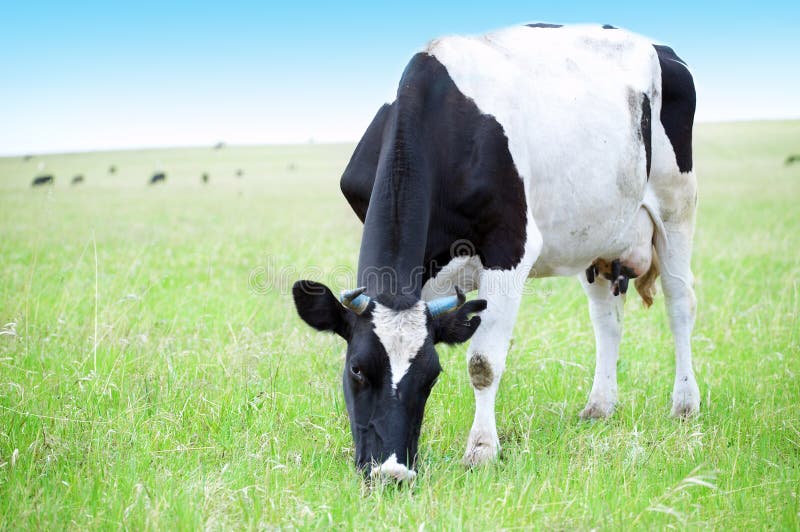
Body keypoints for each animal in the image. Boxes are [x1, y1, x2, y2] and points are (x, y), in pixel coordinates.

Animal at [290, 23, 696, 482]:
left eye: (431, 376)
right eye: (356, 369)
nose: (392, 472)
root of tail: (659, 47)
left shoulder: (510, 246)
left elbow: (483, 362)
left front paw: (481, 450)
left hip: (677, 205)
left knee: (680, 304)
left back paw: (685, 404)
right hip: (598, 237)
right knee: (606, 320)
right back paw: (599, 406)